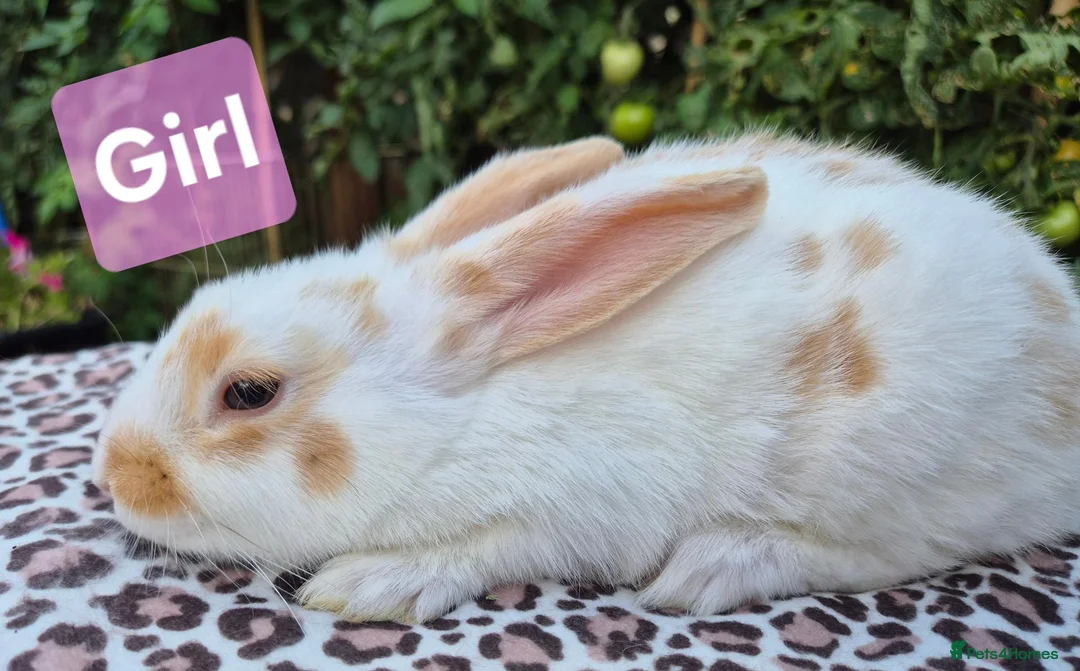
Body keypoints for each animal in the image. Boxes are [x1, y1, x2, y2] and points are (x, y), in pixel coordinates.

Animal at [92, 130, 1080, 623]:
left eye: (248, 392)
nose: (114, 473)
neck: (459, 419)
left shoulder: (584, 506)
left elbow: (489, 546)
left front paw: (373, 583)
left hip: (899, 469)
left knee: (895, 550)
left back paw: (715, 566)